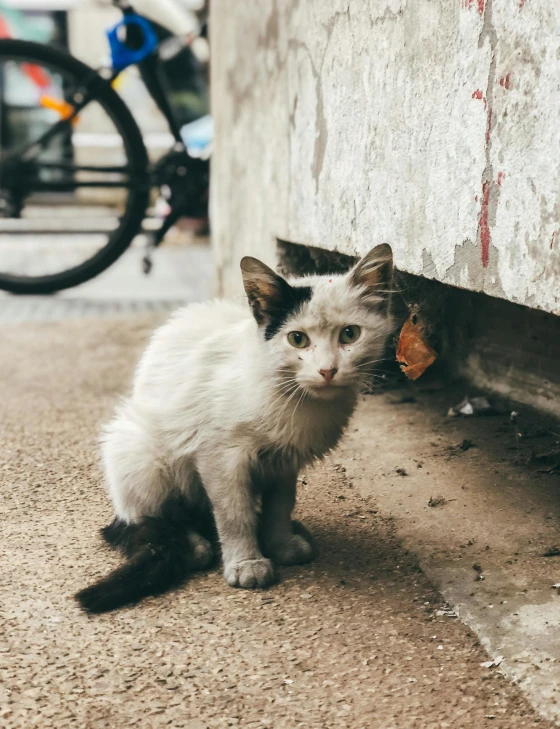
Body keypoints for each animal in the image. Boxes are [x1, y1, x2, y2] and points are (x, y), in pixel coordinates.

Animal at [75, 243, 394, 608]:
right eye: (298, 339)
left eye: (350, 334)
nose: (327, 370)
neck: (294, 398)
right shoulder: (218, 455)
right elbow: (233, 513)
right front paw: (246, 562)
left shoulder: (285, 460)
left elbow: (281, 504)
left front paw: (280, 542)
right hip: (138, 447)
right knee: (155, 517)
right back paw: (195, 545)